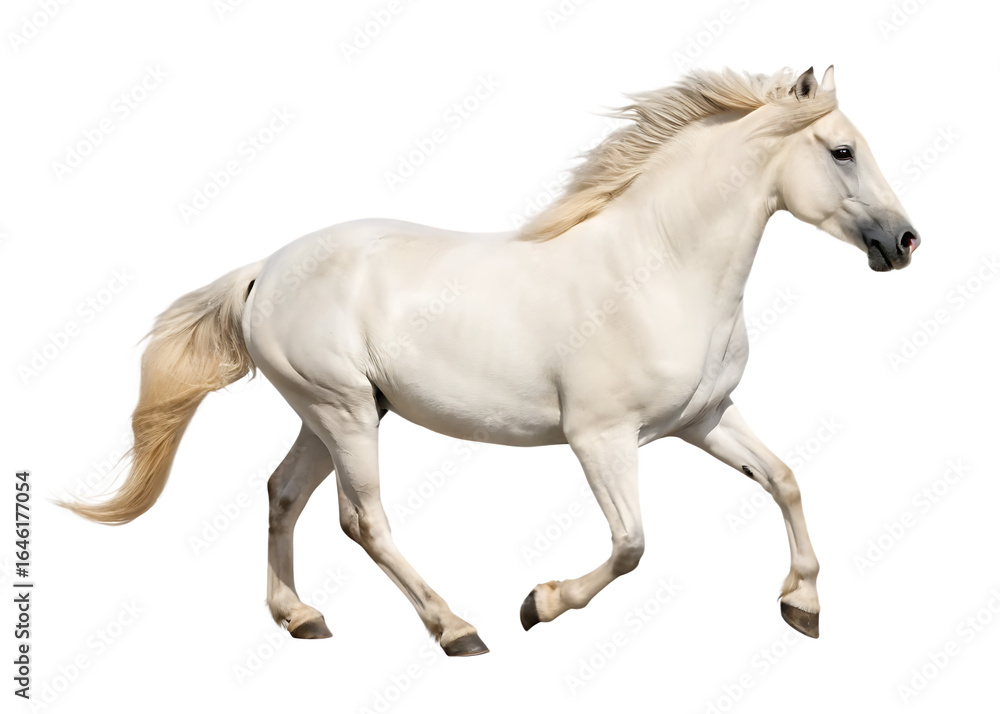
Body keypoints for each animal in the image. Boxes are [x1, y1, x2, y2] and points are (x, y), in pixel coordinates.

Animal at [62, 66, 920, 655]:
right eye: (843, 151)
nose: (905, 241)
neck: (658, 268)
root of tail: (261, 271)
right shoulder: (600, 437)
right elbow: (632, 545)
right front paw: (539, 604)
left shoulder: (704, 418)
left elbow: (784, 479)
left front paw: (802, 607)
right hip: (343, 410)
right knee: (361, 519)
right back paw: (457, 629)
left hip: (332, 412)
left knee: (282, 494)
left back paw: (301, 618)